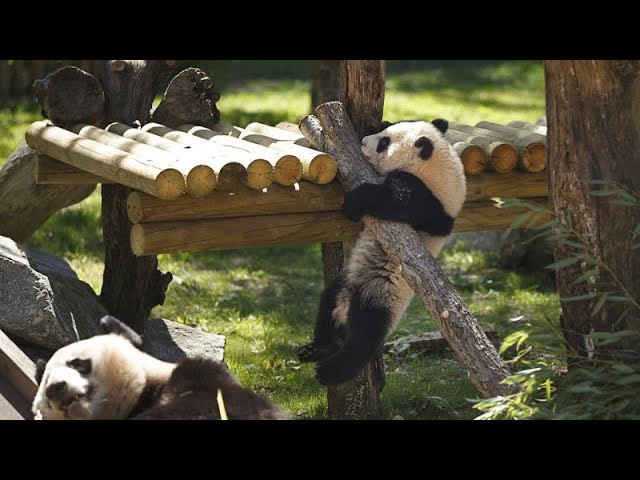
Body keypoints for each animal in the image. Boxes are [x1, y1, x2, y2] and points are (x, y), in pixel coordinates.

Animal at [298, 118, 468, 384]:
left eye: (384, 143)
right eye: (384, 131)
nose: (363, 141)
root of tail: (347, 304)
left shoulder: (431, 203)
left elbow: (395, 201)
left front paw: (354, 201)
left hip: (382, 292)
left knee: (365, 334)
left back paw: (331, 371)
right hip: (347, 280)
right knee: (328, 304)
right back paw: (317, 349)